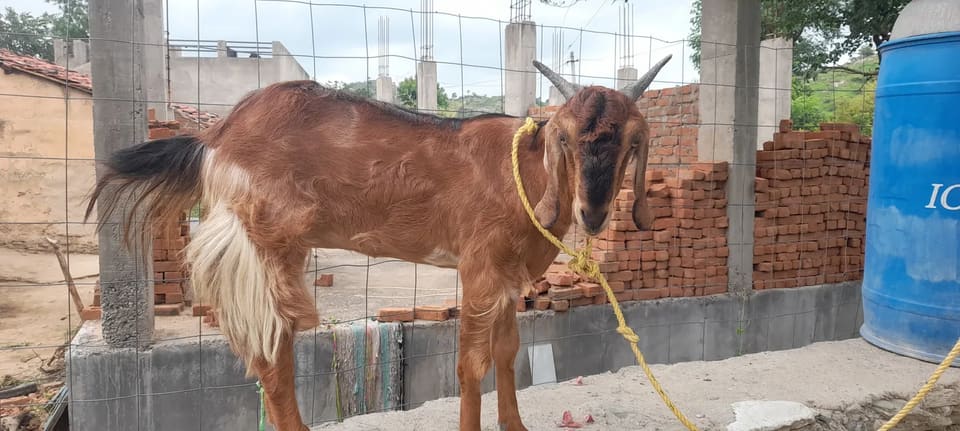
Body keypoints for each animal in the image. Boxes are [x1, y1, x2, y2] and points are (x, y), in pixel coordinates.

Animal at [85, 56, 671, 431]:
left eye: (631, 143)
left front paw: (517, 427)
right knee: (273, 352)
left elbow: (509, 354)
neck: (524, 174)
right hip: (266, 243)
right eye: (565, 139)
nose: (593, 212)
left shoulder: (507, 276)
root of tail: (216, 136)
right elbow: (471, 365)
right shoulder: (478, 267)